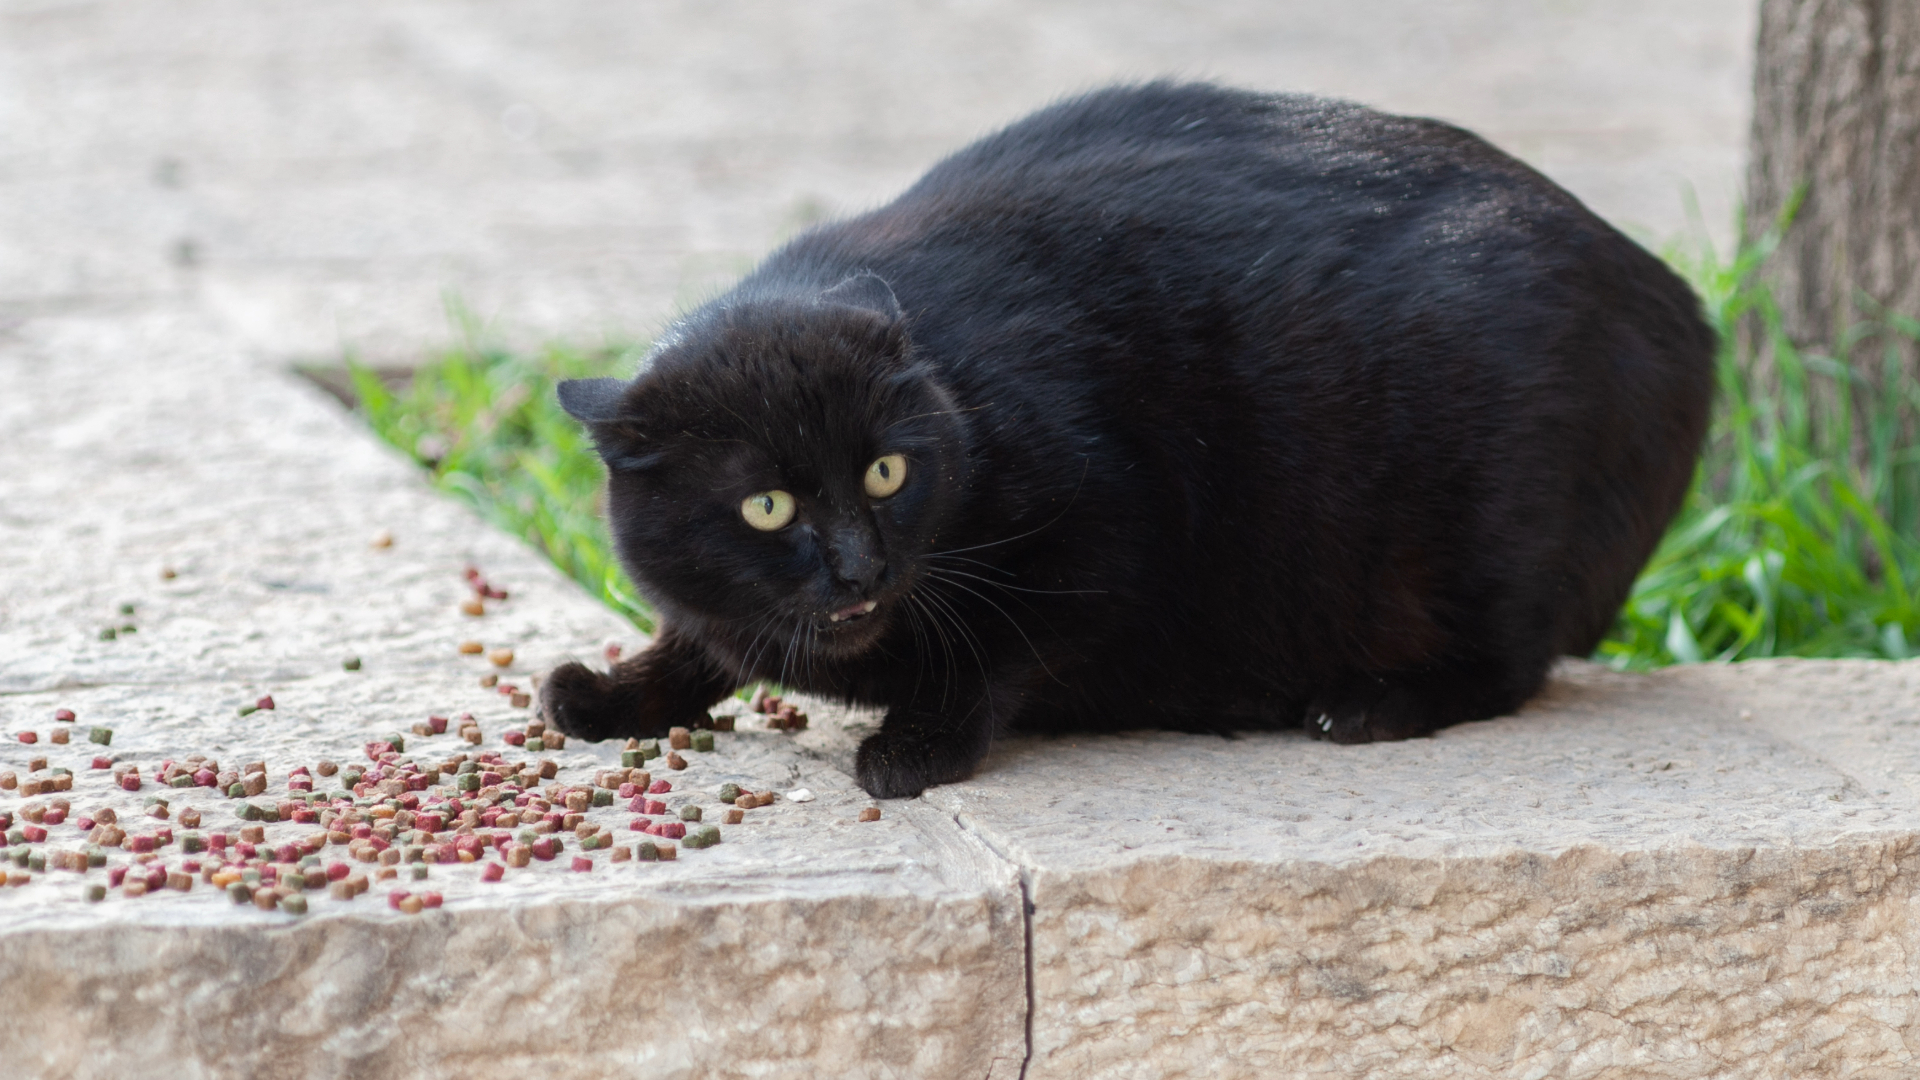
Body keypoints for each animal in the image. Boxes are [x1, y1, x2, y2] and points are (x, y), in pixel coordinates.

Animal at [537, 82, 1712, 791]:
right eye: (768, 504)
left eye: (885, 472)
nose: (860, 565)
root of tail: (1677, 302)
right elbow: (700, 635)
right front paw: (617, 693)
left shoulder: (1106, 530)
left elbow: (994, 650)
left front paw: (918, 744)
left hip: (1471, 536)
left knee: (1509, 665)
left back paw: (1371, 702)